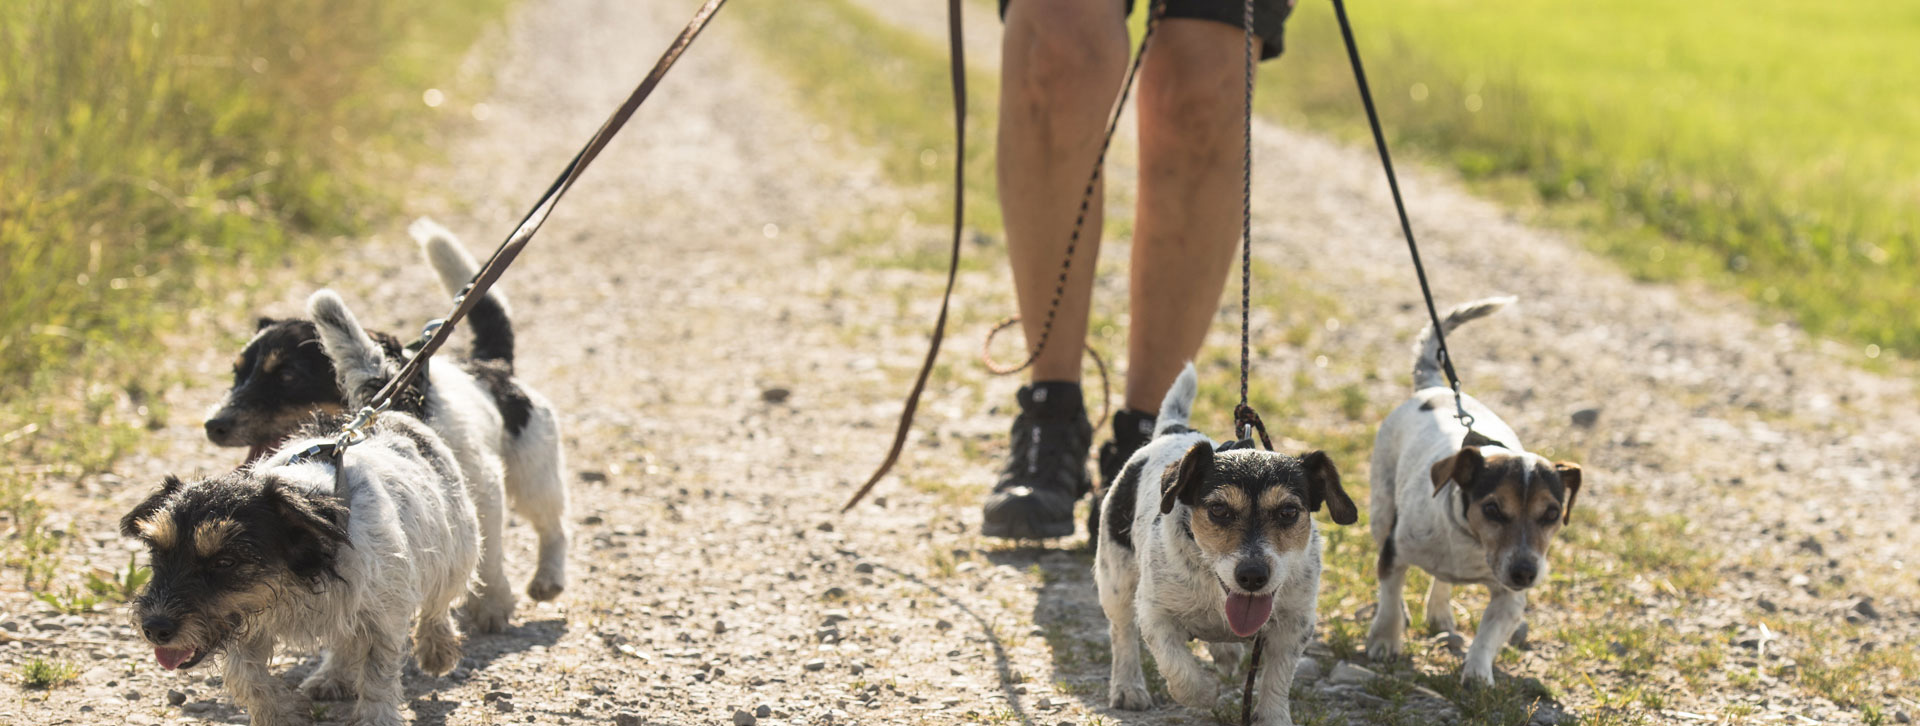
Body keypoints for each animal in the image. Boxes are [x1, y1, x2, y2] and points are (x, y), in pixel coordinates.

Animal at [123, 411, 476, 722]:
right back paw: (331, 677)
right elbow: (246, 677)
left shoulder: (383, 615)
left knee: (438, 605)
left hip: (455, 550)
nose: (154, 629)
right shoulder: (245, 624)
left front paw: (377, 719)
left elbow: (377, 674)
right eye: (158, 551)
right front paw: (279, 714)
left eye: (226, 561)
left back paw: (437, 648)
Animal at [211, 217, 572, 629]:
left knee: (553, 525)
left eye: (288, 376)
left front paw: (491, 605)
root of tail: (492, 365)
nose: (212, 424)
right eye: (236, 372)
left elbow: (489, 553)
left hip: (533, 473)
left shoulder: (484, 488)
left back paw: (548, 578)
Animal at [1090, 364, 1359, 722]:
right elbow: (1179, 669)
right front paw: (1205, 693)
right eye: (1218, 510)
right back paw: (1128, 687)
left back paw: (1226, 651)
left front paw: (1273, 717)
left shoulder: (1295, 624)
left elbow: (1277, 680)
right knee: (1122, 634)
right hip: (1115, 579)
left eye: (1289, 512)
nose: (1252, 576)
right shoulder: (1155, 614)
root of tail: (1174, 431)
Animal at [1367, 297, 1589, 683]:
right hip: (1381, 511)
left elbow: (1488, 633)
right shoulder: (1395, 551)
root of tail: (1434, 388)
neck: (1470, 543)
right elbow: (1390, 596)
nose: (1525, 572)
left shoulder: (1510, 597)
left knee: (1441, 581)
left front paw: (1477, 674)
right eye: (1492, 509)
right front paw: (1384, 640)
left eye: (1551, 514)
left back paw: (1440, 611)